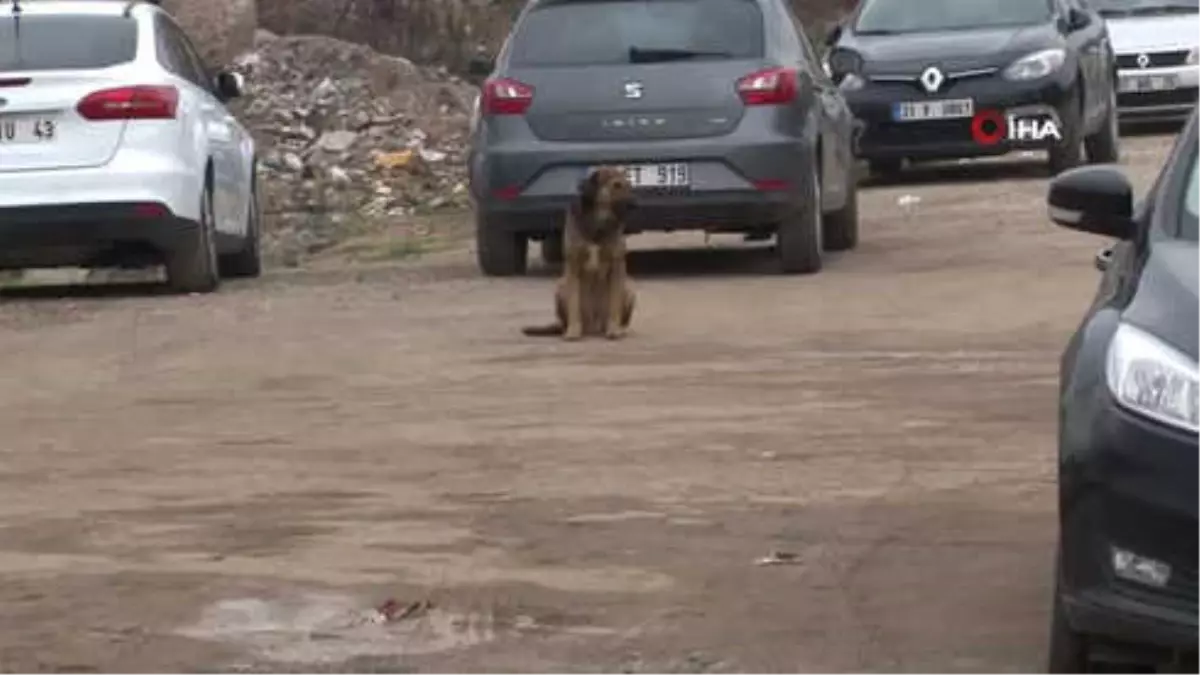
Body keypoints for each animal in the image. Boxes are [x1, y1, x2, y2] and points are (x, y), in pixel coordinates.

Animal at [523, 165, 638, 338]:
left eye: (629, 185)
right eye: (616, 185)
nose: (636, 204)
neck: (597, 222)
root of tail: (595, 328)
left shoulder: (617, 265)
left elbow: (614, 304)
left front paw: (614, 329)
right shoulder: (573, 265)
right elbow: (573, 304)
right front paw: (573, 331)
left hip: (628, 288)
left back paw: (619, 328)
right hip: (560, 287)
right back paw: (570, 329)